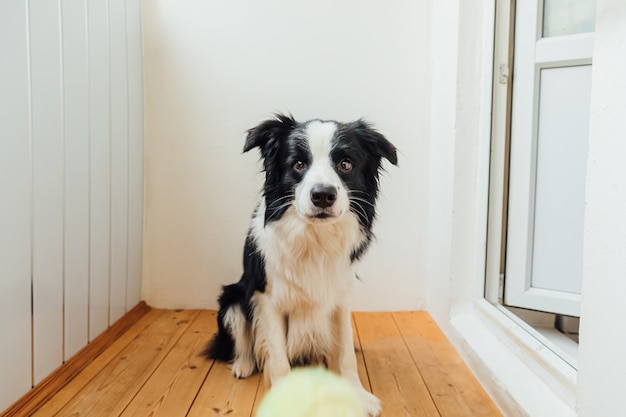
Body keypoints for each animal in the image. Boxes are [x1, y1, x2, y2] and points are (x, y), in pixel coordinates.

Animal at [205, 114, 394, 416]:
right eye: (298, 164)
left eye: (345, 164)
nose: (323, 195)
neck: (315, 237)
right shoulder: (268, 299)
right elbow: (278, 358)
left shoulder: (340, 297)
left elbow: (346, 355)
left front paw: (359, 396)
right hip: (231, 297)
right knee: (242, 342)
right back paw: (243, 365)